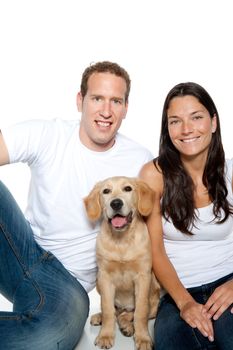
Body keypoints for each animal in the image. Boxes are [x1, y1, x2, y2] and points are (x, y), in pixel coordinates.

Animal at [84, 176, 160, 350]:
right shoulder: (104, 276)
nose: (116, 203)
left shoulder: (143, 276)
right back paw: (101, 317)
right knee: (116, 312)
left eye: (128, 188)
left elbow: (141, 312)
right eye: (106, 191)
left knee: (129, 314)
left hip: (154, 292)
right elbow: (107, 309)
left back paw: (127, 326)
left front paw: (143, 338)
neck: (121, 241)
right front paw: (105, 335)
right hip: (99, 283)